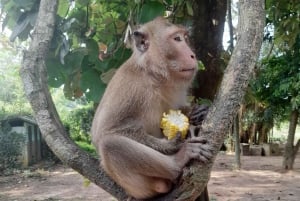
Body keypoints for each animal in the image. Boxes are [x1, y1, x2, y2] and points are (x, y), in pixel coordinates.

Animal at [92, 17, 212, 199]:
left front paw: (197, 112)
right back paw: (178, 161)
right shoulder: (131, 86)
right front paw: (172, 145)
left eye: (185, 38)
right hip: (139, 187)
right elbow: (103, 132)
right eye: (177, 39)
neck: (154, 75)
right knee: (109, 144)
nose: (193, 55)